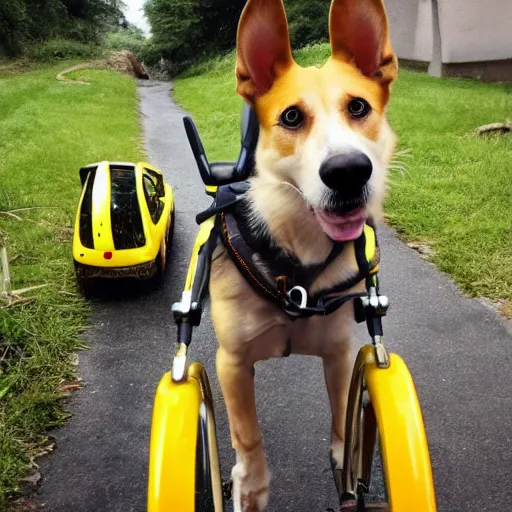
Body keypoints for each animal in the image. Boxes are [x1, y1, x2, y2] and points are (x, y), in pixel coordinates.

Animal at [210, 2, 398, 510]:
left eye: (358, 107)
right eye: (292, 117)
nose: (348, 171)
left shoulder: (339, 352)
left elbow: (343, 422)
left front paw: (348, 474)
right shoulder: (231, 362)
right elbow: (246, 433)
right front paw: (251, 483)